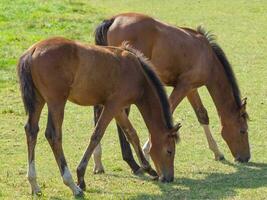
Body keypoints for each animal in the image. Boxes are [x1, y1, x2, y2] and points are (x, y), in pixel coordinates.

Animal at [17, 37, 180, 195]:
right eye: (170, 151)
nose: (169, 178)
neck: (138, 73)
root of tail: (32, 51)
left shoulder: (118, 109)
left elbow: (132, 133)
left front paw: (147, 168)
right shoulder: (112, 106)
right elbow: (97, 135)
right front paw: (80, 177)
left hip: (38, 101)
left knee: (31, 131)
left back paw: (34, 184)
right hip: (56, 102)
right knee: (53, 136)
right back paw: (72, 185)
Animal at [92, 12, 251, 173]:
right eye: (243, 130)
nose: (246, 158)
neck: (207, 55)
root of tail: (112, 20)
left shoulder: (191, 88)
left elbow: (202, 115)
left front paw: (217, 152)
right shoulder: (183, 86)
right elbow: (170, 109)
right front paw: (147, 151)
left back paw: (100, 162)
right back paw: (132, 163)